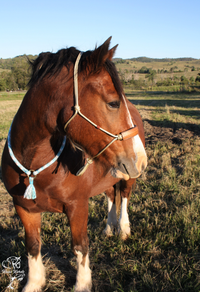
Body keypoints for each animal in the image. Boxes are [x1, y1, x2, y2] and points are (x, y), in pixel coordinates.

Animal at [1, 37, 147, 292]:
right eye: (113, 103)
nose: (141, 159)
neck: (35, 167)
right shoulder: (23, 208)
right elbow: (33, 245)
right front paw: (34, 282)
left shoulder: (77, 206)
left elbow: (80, 245)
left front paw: (82, 283)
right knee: (111, 195)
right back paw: (109, 228)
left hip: (128, 176)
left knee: (124, 197)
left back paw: (123, 229)